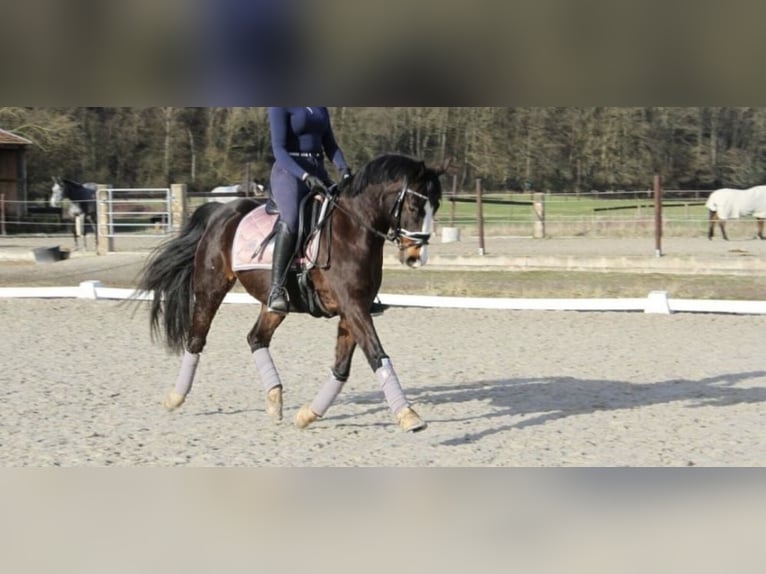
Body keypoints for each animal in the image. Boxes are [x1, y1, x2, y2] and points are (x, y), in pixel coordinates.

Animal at [136, 153, 447, 432]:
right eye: (414, 205)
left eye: (436, 206)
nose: (417, 257)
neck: (353, 230)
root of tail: (222, 211)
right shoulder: (353, 308)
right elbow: (376, 354)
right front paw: (409, 416)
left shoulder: (354, 309)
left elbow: (342, 367)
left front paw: (308, 414)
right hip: (210, 287)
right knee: (197, 338)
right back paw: (175, 397)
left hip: (273, 303)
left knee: (256, 338)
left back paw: (275, 399)